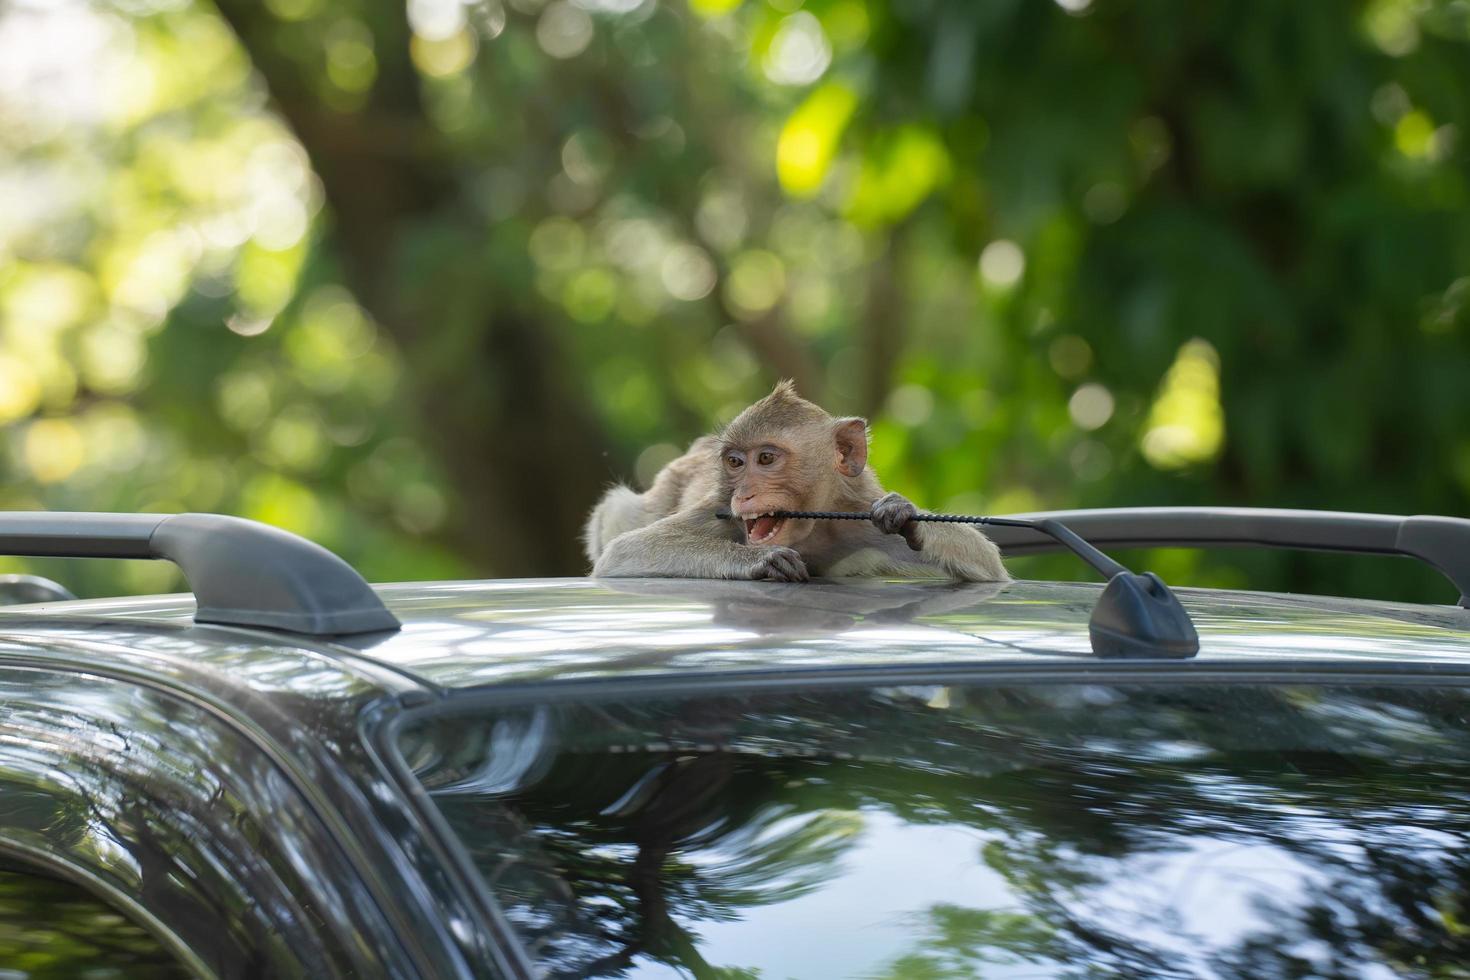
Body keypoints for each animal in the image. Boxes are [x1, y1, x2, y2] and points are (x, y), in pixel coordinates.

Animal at [585, 382, 1011, 581]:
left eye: (766, 458)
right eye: (735, 462)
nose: (744, 493)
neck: (810, 531)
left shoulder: (860, 520)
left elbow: (990, 567)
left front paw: (903, 514)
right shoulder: (718, 508)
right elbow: (626, 551)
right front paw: (761, 561)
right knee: (621, 513)